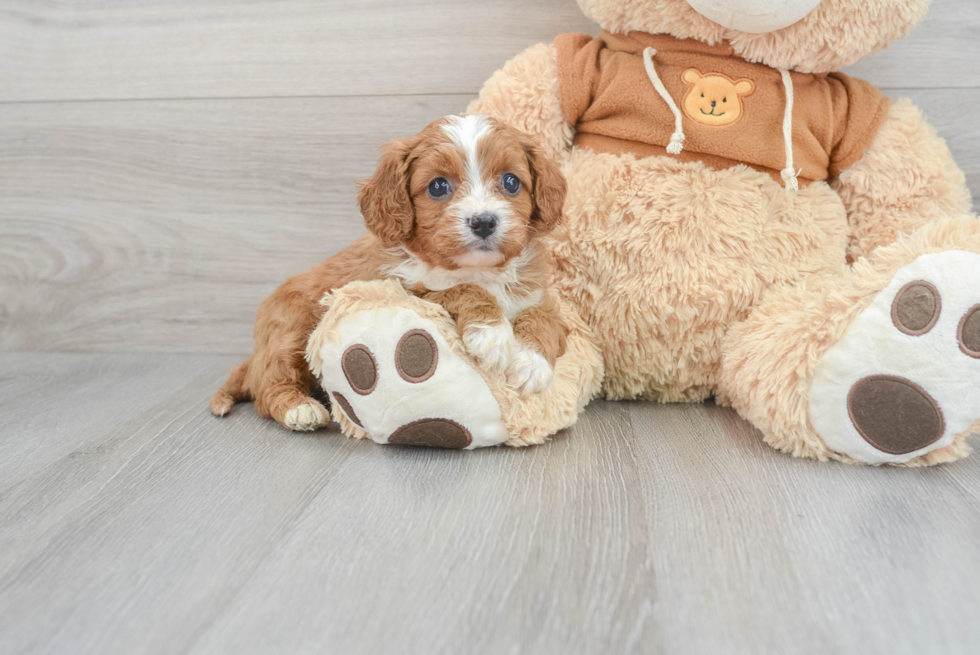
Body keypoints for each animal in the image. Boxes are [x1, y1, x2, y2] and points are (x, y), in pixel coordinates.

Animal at [211, 114, 572, 430]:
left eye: (511, 182)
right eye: (438, 186)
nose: (483, 222)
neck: (478, 271)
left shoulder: (541, 298)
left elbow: (545, 319)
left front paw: (531, 364)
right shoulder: (400, 289)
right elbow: (458, 289)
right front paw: (491, 332)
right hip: (290, 329)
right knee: (268, 386)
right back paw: (298, 408)